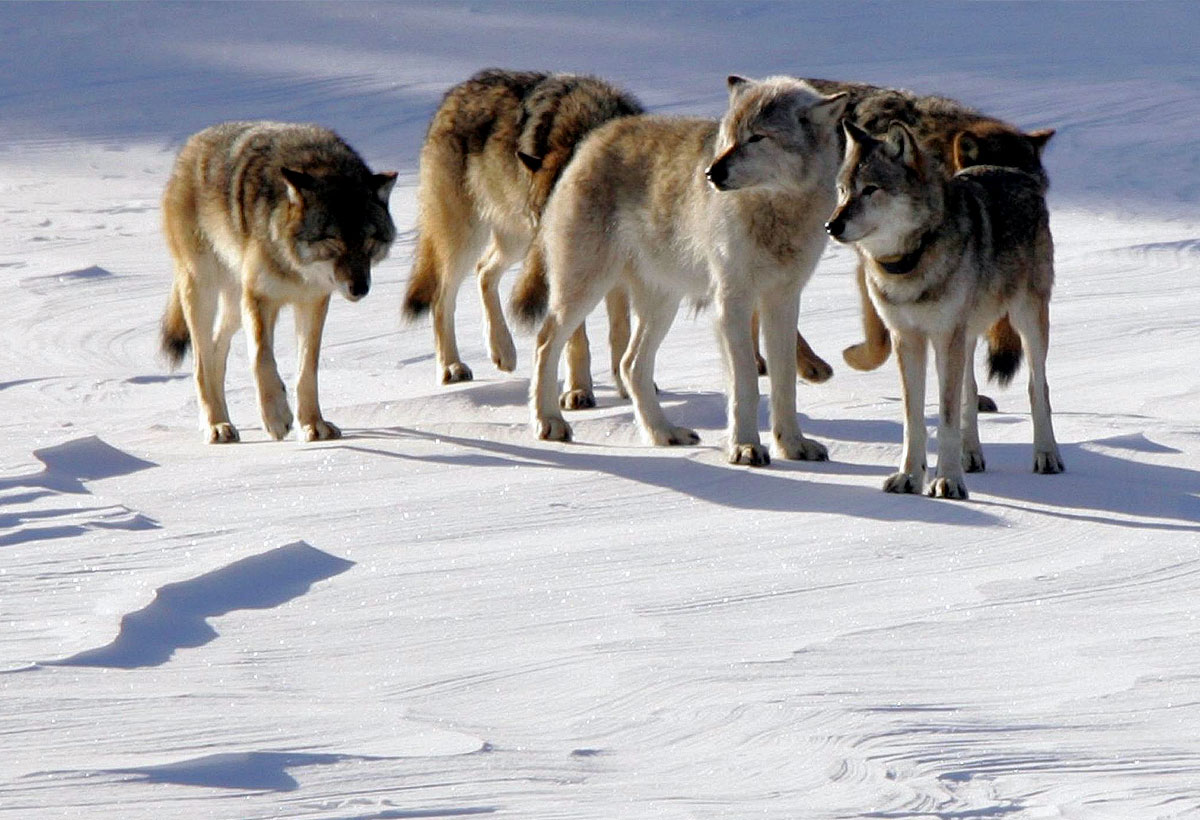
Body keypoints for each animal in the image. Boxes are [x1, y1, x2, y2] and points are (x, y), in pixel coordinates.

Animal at [156, 117, 393, 441]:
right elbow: (261, 358)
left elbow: (307, 369)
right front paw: (277, 417)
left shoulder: (313, 301)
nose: (360, 288)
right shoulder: (259, 298)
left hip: (234, 305)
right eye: (333, 241)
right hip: (204, 290)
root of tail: (191, 147)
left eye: (369, 242)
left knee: (216, 350)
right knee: (200, 362)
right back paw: (216, 425)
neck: (296, 267)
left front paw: (313, 424)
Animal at [403, 66, 648, 398]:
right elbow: (576, 337)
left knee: (484, 271)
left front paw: (626, 386)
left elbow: (620, 329)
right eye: (543, 219)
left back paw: (502, 351)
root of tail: (452, 96)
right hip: (469, 239)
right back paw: (452, 366)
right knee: (442, 297)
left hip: (514, 241)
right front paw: (578, 391)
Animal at [806, 78, 1051, 384]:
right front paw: (855, 358)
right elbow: (880, 345)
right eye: (843, 190)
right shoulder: (873, 272)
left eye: (1040, 188)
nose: (832, 226)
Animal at [825, 117, 1070, 497]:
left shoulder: (944, 336)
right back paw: (972, 456)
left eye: (870, 189)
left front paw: (948, 481)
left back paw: (1046, 456)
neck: (910, 261)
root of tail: (1013, 171)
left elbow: (946, 418)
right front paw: (910, 477)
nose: (831, 225)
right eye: (842, 190)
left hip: (1026, 320)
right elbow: (914, 419)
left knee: (1037, 387)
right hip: (966, 336)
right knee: (971, 390)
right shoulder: (908, 338)